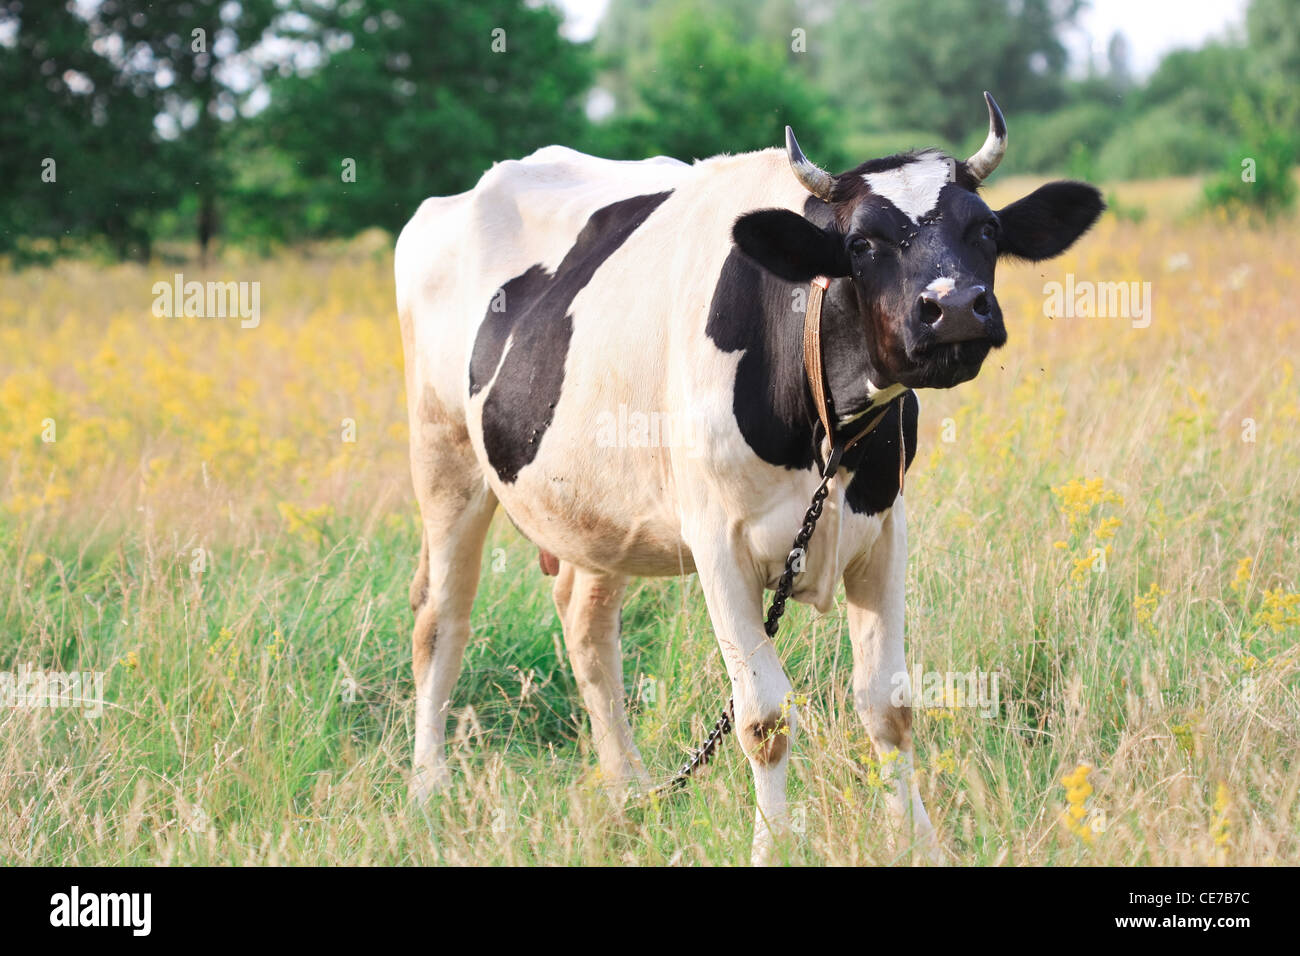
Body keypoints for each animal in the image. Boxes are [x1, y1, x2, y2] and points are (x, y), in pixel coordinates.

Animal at [394, 93, 1103, 864]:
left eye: (987, 229)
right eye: (863, 244)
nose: (953, 310)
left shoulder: (884, 528)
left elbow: (889, 704)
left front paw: (919, 844)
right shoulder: (719, 545)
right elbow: (763, 717)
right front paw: (776, 846)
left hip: (598, 507)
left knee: (587, 624)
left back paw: (628, 790)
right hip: (444, 458)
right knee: (440, 618)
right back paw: (429, 787)